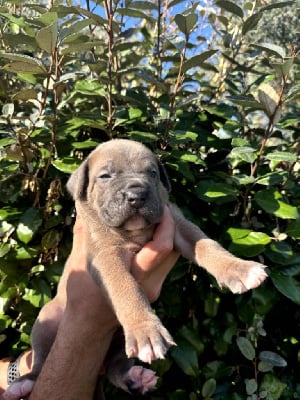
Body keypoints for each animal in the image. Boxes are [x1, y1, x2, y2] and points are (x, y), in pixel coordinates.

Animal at [4, 139, 268, 398]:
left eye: (152, 173)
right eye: (105, 176)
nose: (136, 194)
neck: (135, 233)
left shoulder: (179, 225)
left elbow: (207, 245)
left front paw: (240, 268)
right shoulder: (106, 255)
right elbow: (126, 288)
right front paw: (146, 331)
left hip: (118, 342)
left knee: (116, 366)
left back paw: (135, 378)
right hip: (45, 322)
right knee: (40, 360)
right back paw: (23, 383)